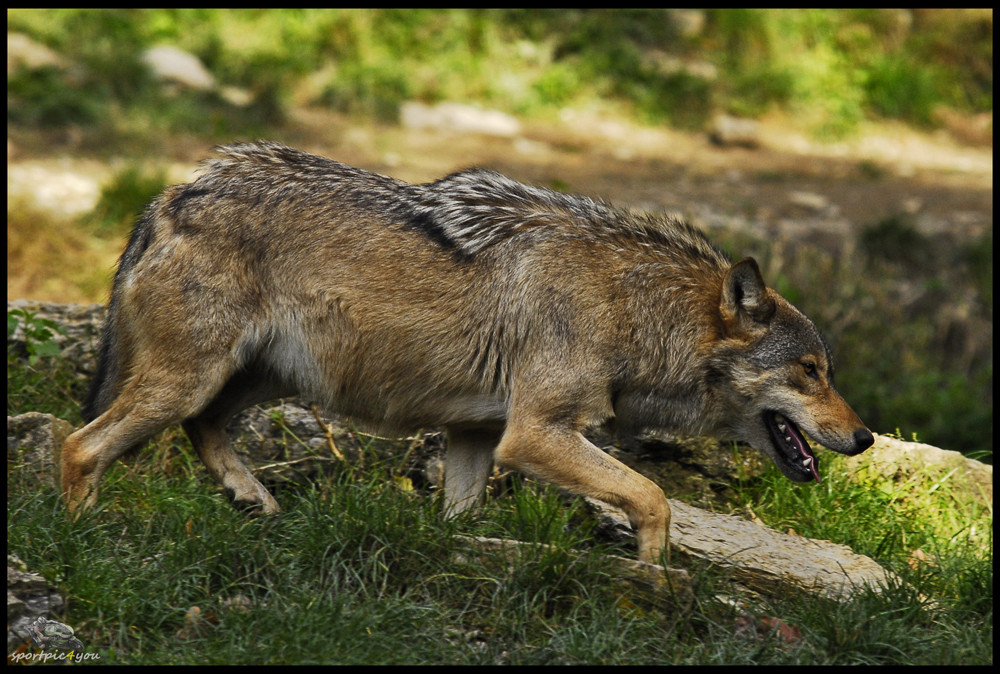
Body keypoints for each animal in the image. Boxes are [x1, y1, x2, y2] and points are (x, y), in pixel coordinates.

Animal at [64, 142, 876, 560]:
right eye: (810, 372)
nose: (866, 437)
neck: (634, 311)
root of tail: (171, 197)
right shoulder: (534, 434)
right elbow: (653, 497)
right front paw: (657, 579)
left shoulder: (476, 436)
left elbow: (459, 519)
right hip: (194, 379)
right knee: (81, 446)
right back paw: (82, 535)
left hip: (255, 380)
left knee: (200, 432)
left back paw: (252, 498)